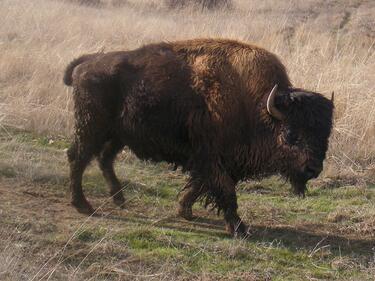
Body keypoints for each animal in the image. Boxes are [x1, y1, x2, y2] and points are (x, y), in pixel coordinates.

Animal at [63, 38, 334, 236]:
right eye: (290, 134)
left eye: (326, 134)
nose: (313, 169)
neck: (257, 107)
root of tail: (88, 62)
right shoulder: (212, 158)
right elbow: (225, 191)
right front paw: (239, 228)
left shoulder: (216, 161)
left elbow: (200, 185)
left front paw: (185, 210)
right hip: (92, 128)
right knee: (78, 157)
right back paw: (83, 205)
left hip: (118, 135)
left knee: (104, 159)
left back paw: (119, 199)